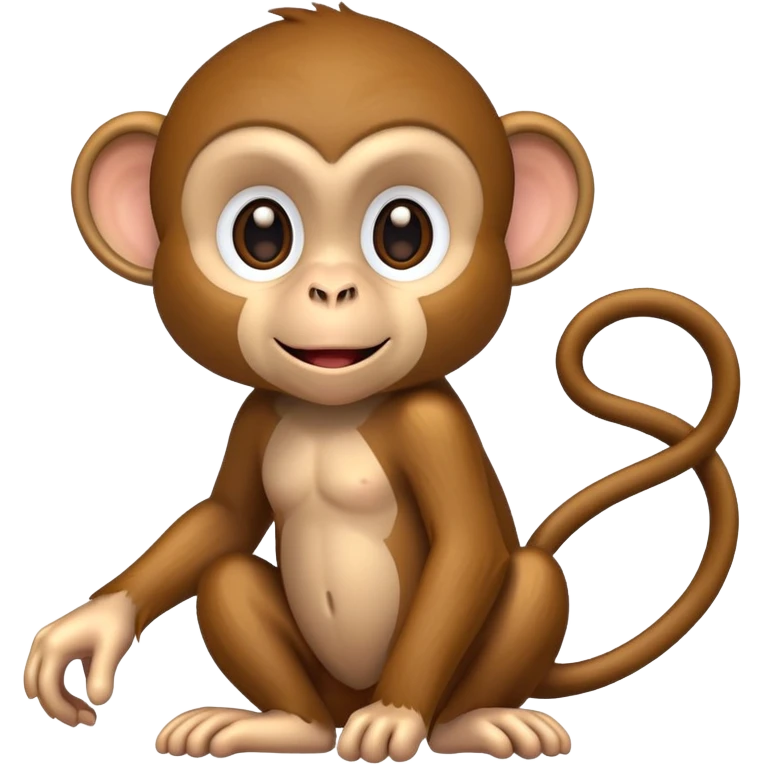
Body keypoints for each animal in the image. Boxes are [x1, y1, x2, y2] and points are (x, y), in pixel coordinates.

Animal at [26, 4, 741, 762]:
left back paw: (469, 721)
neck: (336, 411)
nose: (332, 289)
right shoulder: (261, 411)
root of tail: (345, 704)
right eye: (261, 234)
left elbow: (466, 549)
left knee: (530, 583)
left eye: (403, 234)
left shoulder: (432, 421)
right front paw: (91, 626)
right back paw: (282, 724)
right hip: (321, 684)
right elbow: (224, 518)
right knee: (226, 576)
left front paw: (398, 717)